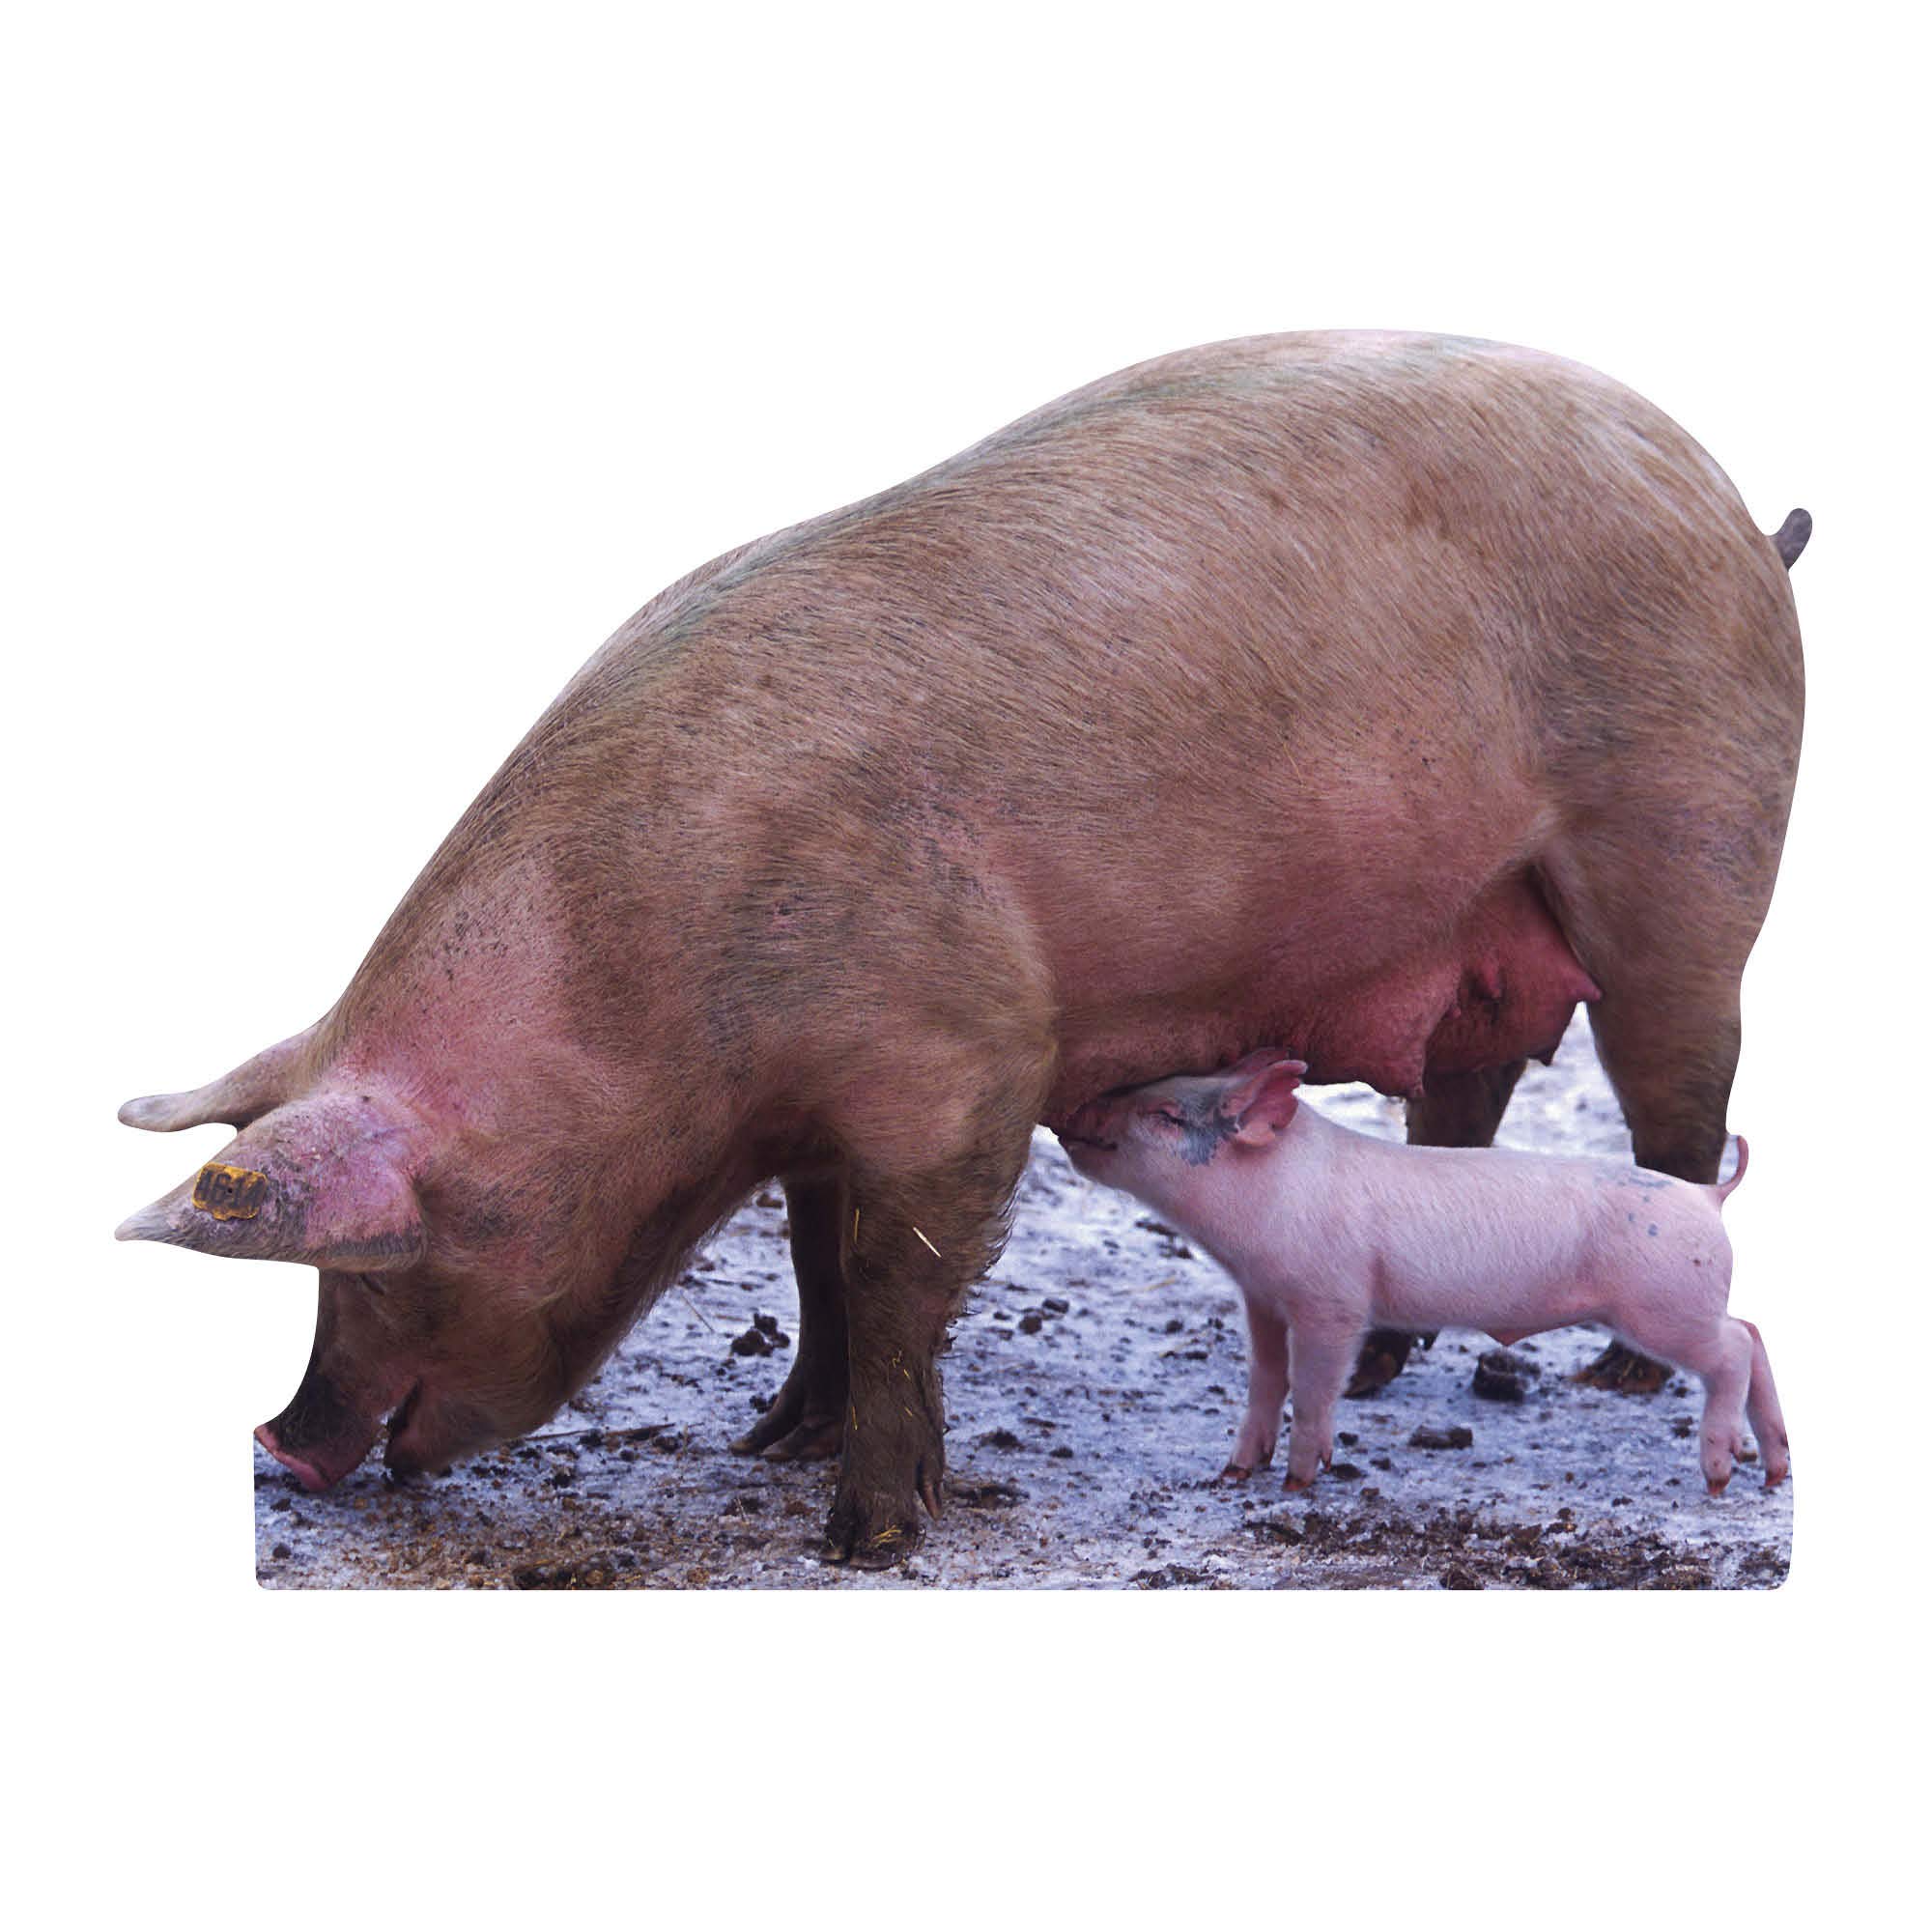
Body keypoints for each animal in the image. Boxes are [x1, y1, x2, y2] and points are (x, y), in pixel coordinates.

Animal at [1057, 1055, 1789, 1496]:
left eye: (1166, 1116)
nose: (1075, 1110)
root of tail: (1709, 1197)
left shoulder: (1332, 1299)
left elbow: (1314, 1387)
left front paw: (1298, 1484)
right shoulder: (1262, 1297)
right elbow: (1265, 1380)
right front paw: (1234, 1473)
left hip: (1664, 1304)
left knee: (1733, 1348)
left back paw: (1720, 1476)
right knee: (1753, 1334)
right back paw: (1775, 1473)